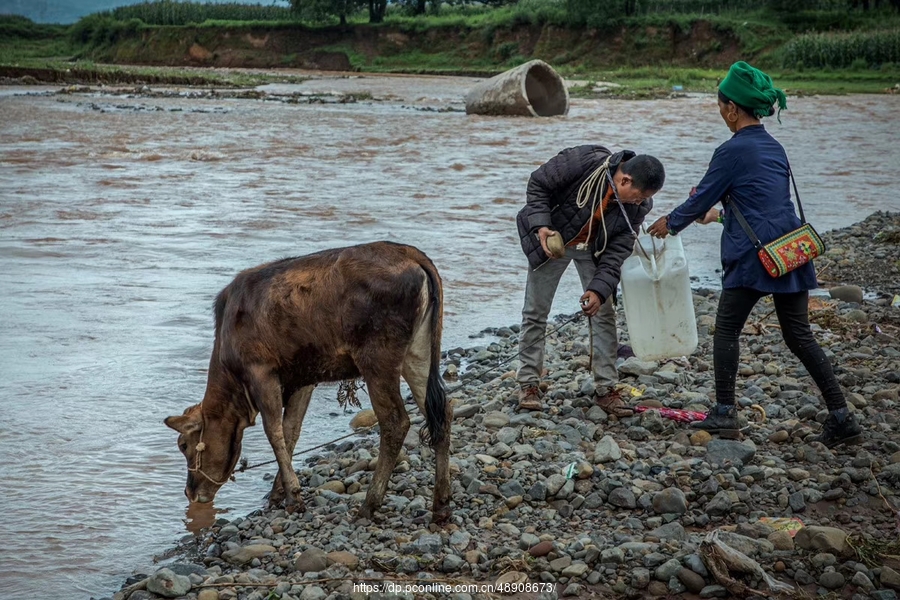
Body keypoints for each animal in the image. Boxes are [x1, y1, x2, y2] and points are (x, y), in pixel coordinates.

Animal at [163, 241, 450, 524]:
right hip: (418, 353)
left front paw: (293, 497)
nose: (190, 492)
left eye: (183, 445)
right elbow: (291, 431)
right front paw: (278, 494)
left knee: (395, 422)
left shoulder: (262, 371)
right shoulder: (303, 379)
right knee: (441, 414)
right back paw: (440, 506)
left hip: (377, 358)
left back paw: (369, 505)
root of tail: (410, 253)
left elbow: (274, 432)